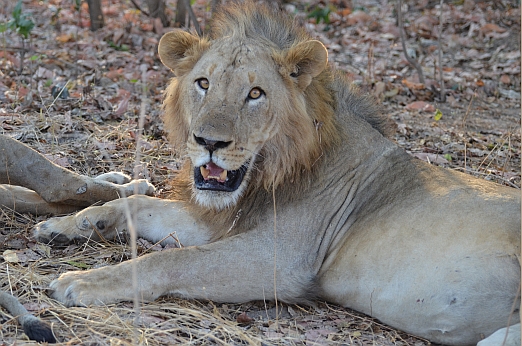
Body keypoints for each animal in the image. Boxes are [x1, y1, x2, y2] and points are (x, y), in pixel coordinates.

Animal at [29, 3, 520, 346]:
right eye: (203, 83)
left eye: (255, 94)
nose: (209, 141)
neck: (268, 177)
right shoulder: (223, 218)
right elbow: (137, 203)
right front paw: (69, 224)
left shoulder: (280, 259)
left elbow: (168, 260)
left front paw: (81, 282)